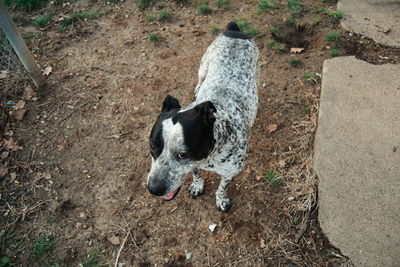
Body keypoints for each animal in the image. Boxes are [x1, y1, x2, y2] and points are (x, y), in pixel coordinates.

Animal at [147, 22, 260, 213]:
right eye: (152, 146)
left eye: (183, 154)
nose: (153, 189)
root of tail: (234, 30)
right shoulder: (195, 165)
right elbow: (196, 174)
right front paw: (197, 185)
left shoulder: (230, 172)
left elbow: (222, 187)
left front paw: (221, 199)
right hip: (204, 66)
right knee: (201, 79)